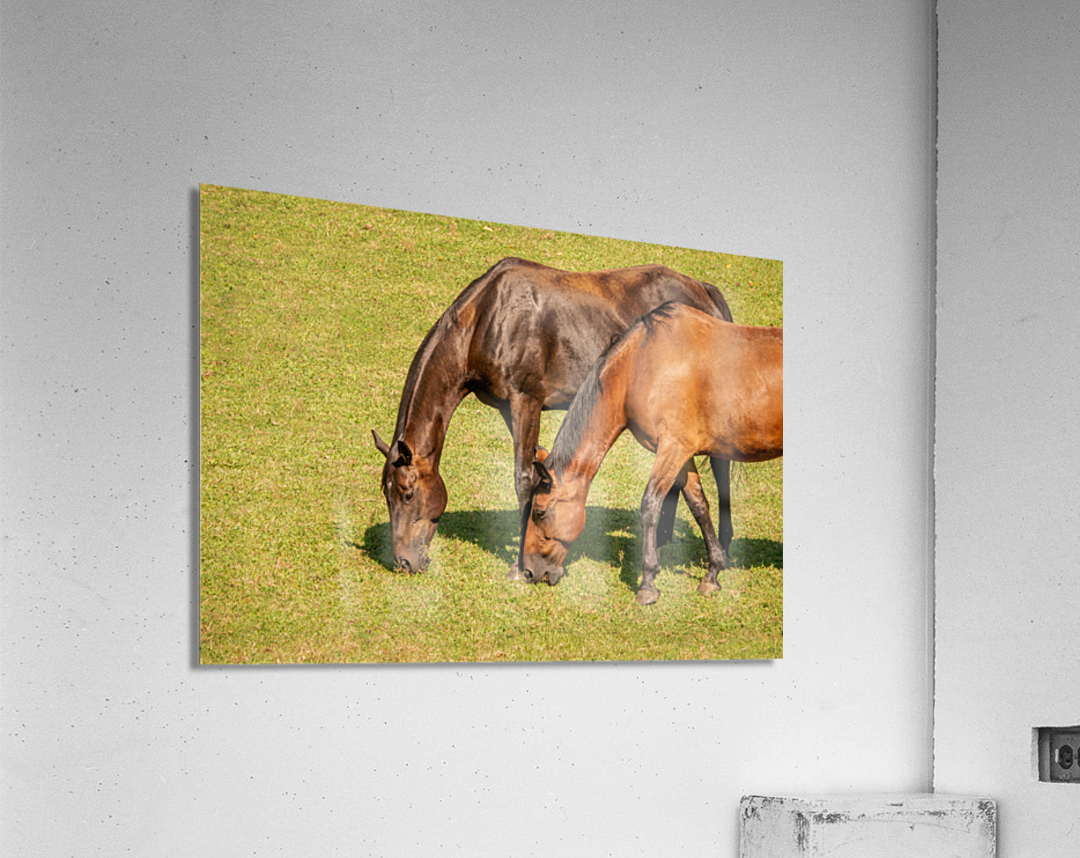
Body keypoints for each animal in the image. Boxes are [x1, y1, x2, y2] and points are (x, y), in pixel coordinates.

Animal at [371, 257, 734, 577]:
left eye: (407, 494)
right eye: (386, 496)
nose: (403, 562)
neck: (486, 319)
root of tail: (702, 289)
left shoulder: (526, 401)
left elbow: (523, 479)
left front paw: (518, 566)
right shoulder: (510, 409)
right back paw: (663, 541)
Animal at [520, 301, 782, 605]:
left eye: (539, 512)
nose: (528, 571)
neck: (641, 368)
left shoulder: (671, 449)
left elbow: (649, 506)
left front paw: (647, 582)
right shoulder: (681, 454)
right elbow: (699, 505)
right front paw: (712, 573)